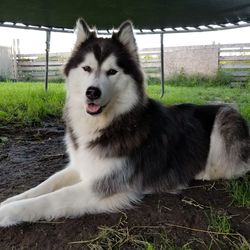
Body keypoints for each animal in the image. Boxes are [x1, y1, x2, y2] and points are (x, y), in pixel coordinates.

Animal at [0, 19, 250, 227]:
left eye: (112, 71)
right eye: (87, 68)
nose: (92, 92)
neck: (108, 123)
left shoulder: (107, 185)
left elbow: (52, 198)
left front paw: (7, 213)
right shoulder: (82, 165)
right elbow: (44, 185)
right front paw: (8, 201)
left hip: (226, 116)